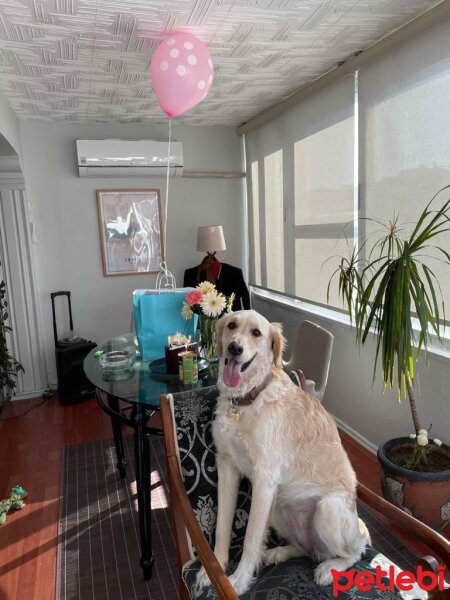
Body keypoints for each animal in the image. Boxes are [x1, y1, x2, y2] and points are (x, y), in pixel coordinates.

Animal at [197, 310, 370, 596]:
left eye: (256, 333)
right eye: (231, 325)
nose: (234, 348)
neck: (247, 400)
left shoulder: (264, 480)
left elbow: (251, 537)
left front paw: (239, 580)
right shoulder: (227, 466)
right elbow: (222, 526)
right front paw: (214, 570)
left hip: (327, 508)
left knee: (353, 553)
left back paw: (328, 569)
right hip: (279, 507)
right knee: (307, 548)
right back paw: (277, 553)